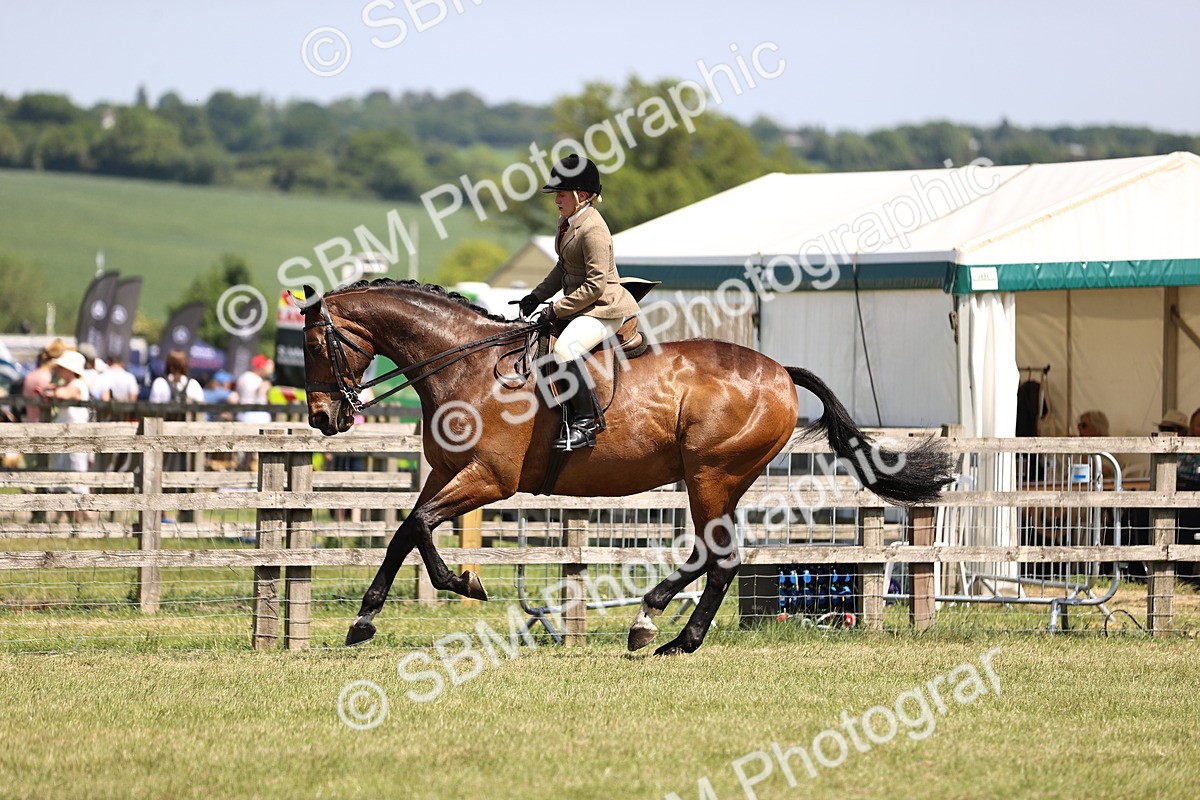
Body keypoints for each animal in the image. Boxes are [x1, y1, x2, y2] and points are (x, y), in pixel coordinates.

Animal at [302, 279, 953, 655]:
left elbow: (416, 528)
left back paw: (657, 626)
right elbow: (406, 531)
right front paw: (372, 617)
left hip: (710, 476)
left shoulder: (489, 479)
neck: (467, 367)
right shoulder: (447, 475)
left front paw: (460, 584)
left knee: (718, 557)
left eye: (312, 344)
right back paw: (669, 632)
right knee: (718, 557)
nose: (322, 418)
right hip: (720, 481)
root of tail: (779, 371)